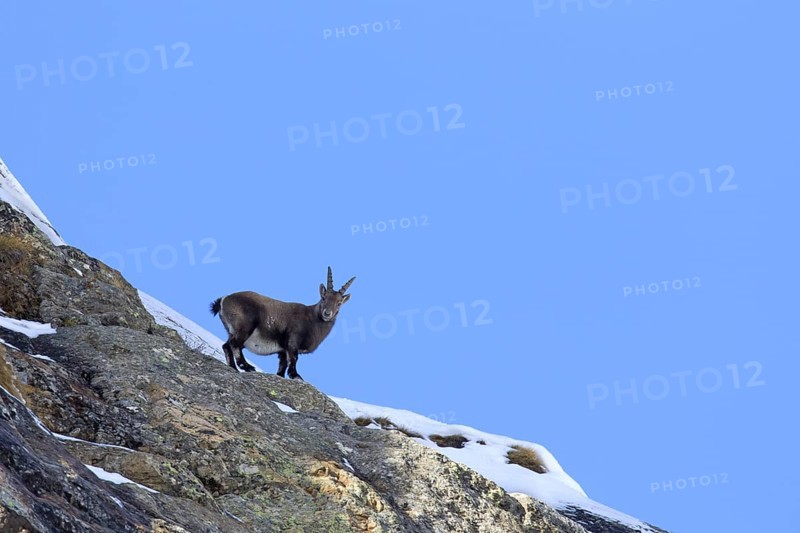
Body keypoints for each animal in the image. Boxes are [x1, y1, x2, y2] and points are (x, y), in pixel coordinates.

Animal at [209, 266, 355, 380]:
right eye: (324, 298)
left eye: (339, 303)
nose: (327, 313)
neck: (312, 320)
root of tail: (223, 300)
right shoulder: (292, 341)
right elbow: (294, 359)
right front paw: (296, 376)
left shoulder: (282, 350)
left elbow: (282, 367)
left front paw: (282, 376)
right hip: (245, 327)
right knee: (234, 344)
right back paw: (246, 366)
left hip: (233, 331)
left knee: (226, 345)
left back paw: (233, 368)